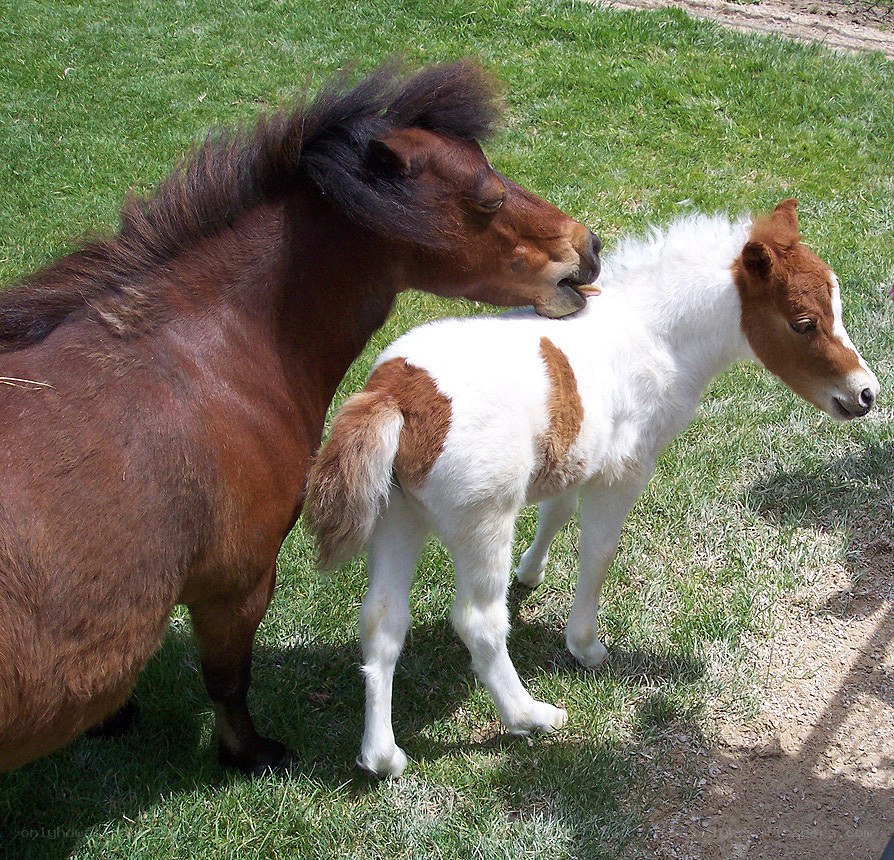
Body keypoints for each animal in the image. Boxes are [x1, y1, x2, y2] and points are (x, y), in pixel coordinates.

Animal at [0, 60, 601, 774]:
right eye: (485, 198)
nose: (588, 247)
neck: (206, 358)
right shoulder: (239, 583)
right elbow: (229, 679)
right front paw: (249, 753)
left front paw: (114, 719)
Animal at [306, 199, 879, 777]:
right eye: (804, 323)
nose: (866, 394)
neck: (654, 333)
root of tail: (395, 393)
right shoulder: (624, 471)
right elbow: (598, 551)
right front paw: (584, 645)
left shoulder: (575, 456)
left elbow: (555, 513)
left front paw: (530, 574)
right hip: (482, 519)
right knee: (478, 621)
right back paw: (531, 716)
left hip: (397, 516)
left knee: (381, 620)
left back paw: (382, 756)